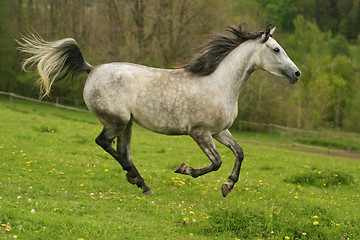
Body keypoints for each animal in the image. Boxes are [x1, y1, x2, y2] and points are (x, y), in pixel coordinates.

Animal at [17, 23, 298, 197]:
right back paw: (135, 178)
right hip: (117, 121)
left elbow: (239, 153)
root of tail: (92, 69)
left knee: (122, 150)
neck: (219, 84)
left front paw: (227, 186)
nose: (296, 74)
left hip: (128, 123)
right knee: (104, 143)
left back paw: (141, 183)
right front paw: (184, 169)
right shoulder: (200, 132)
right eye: (276, 49)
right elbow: (216, 162)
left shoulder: (220, 131)